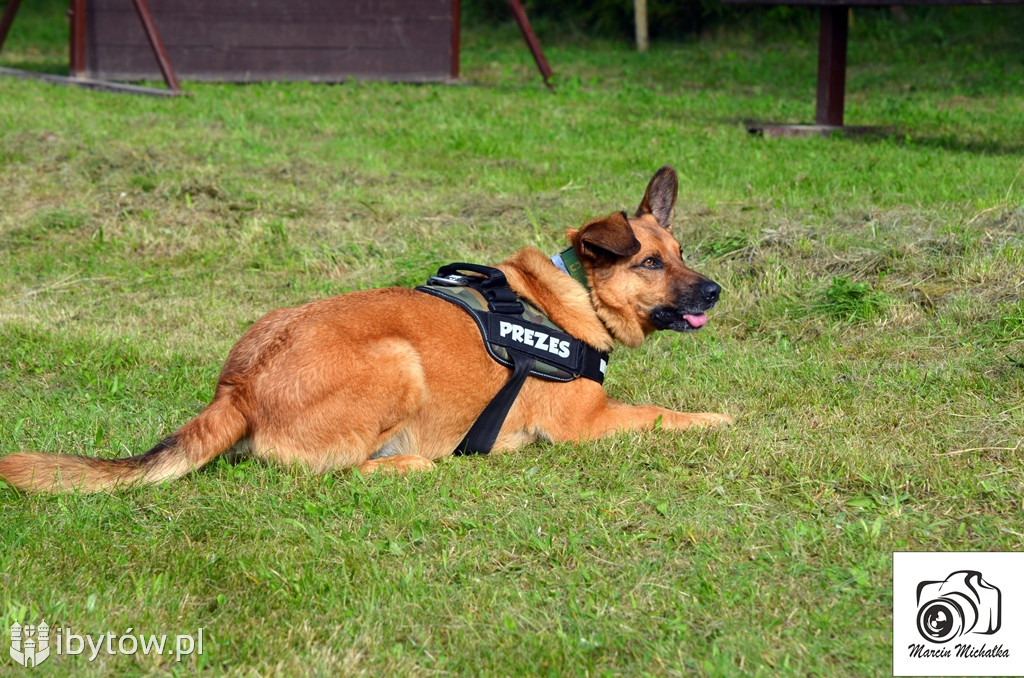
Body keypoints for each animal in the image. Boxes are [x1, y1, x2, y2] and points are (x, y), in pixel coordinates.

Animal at [2, 164, 737, 493]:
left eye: (680, 253)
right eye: (648, 263)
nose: (715, 291)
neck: (574, 294)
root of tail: (239, 385)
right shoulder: (588, 422)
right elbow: (663, 414)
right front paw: (719, 419)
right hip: (397, 362)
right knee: (340, 470)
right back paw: (414, 461)